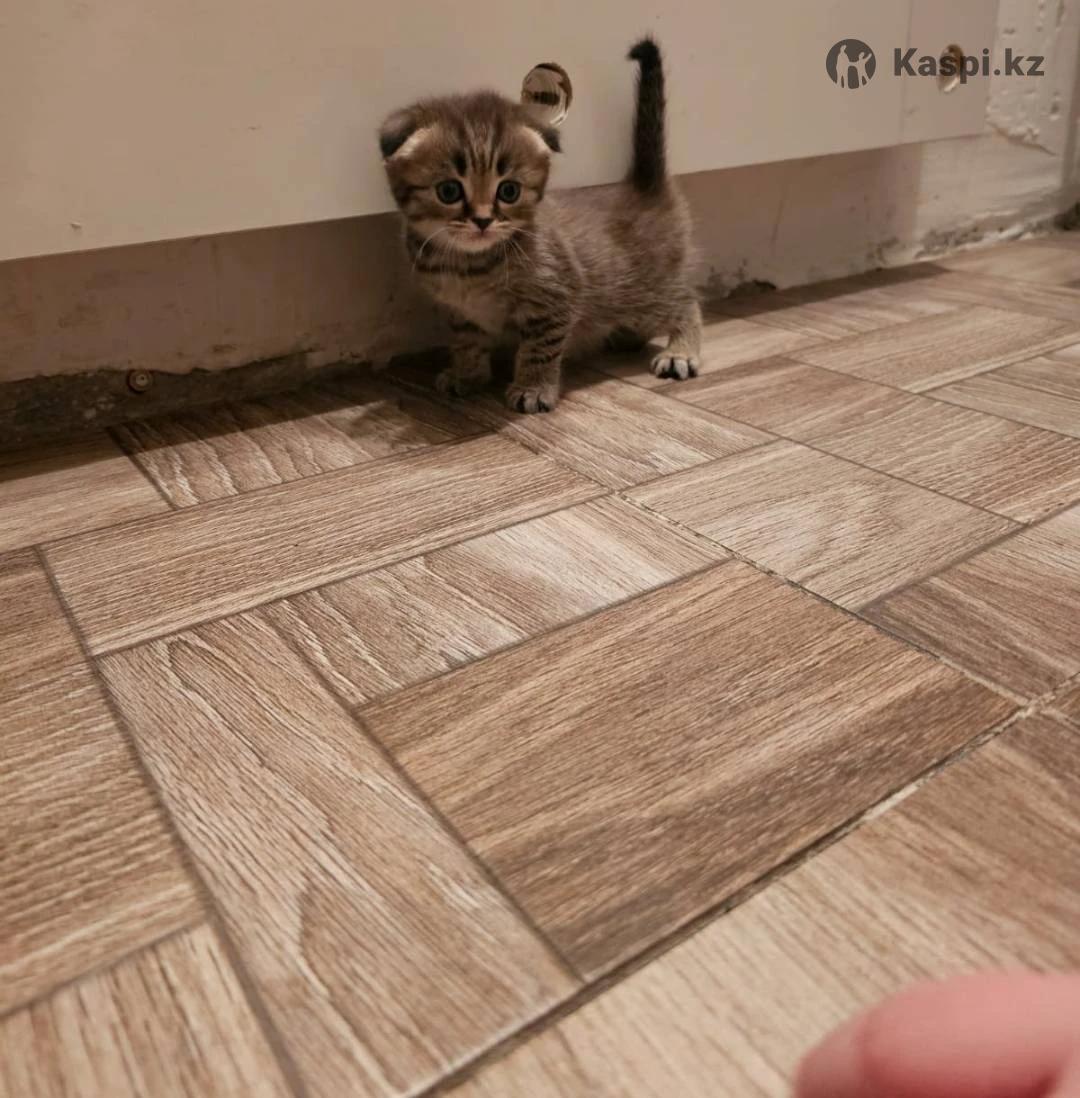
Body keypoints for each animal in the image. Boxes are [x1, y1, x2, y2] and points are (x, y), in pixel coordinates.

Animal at [379, 36, 702, 414]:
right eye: (448, 191)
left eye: (509, 191)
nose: (483, 220)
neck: (467, 265)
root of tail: (644, 185)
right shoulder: (460, 312)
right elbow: (467, 343)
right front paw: (467, 375)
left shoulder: (557, 299)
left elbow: (540, 348)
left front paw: (532, 388)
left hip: (648, 292)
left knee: (687, 302)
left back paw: (680, 351)